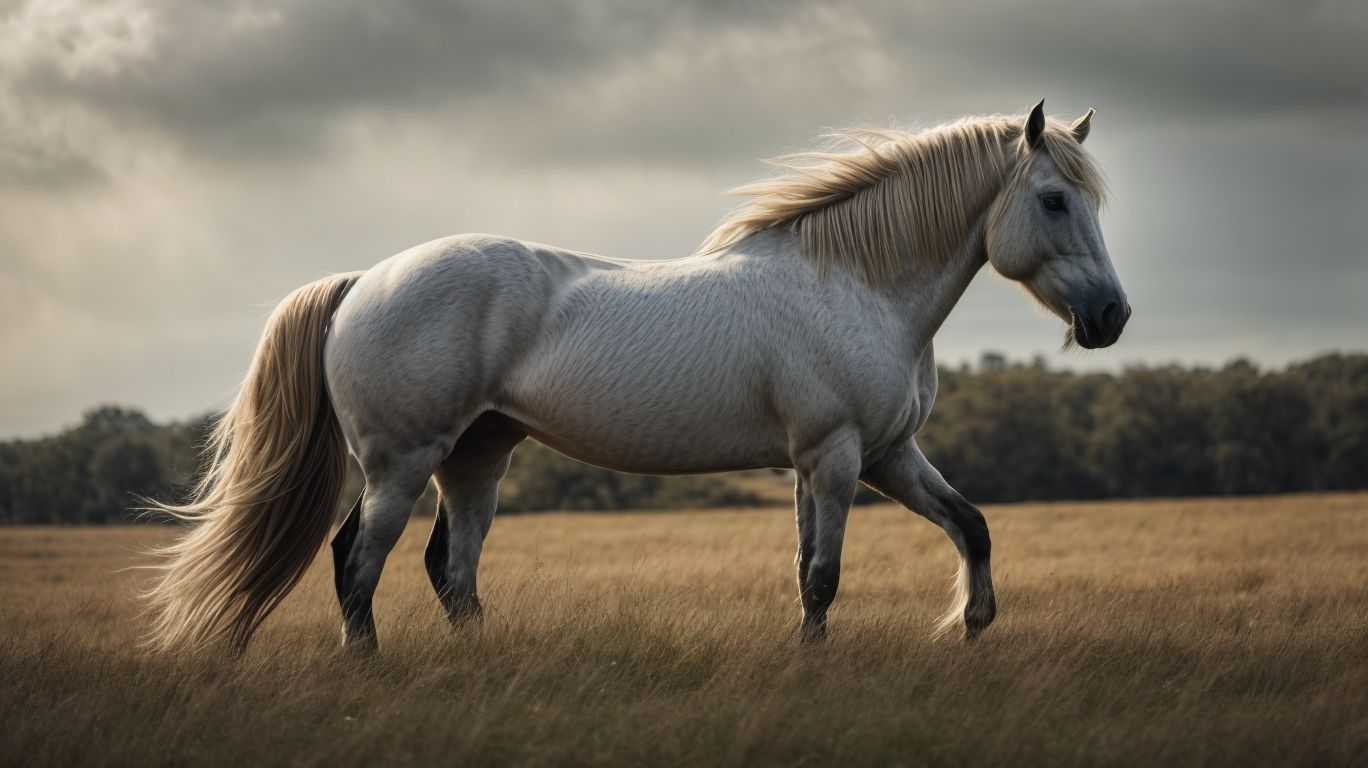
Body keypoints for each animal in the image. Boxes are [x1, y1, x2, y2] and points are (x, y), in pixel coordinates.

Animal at [143, 100, 1130, 653]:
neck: (852, 283)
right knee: (358, 561)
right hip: (402, 462)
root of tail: (361, 281)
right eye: (1054, 200)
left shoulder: (879, 455)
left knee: (451, 570)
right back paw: (368, 666)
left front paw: (970, 627)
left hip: (477, 457)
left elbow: (965, 526)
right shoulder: (839, 456)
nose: (1112, 318)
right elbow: (823, 575)